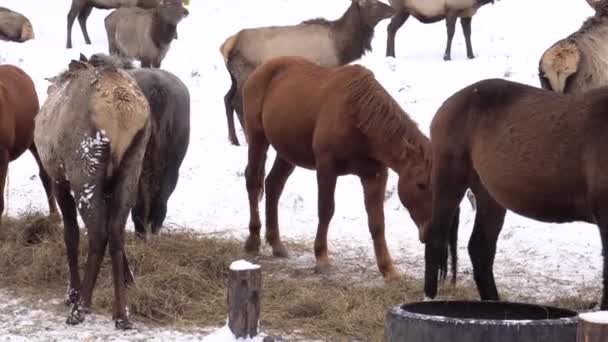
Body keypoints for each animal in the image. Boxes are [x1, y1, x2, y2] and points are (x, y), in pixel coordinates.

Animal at [35, 56, 151, 328]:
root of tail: (121, 107)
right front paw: (129, 279)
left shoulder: (59, 180)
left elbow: (71, 236)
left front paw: (72, 292)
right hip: (132, 163)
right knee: (116, 232)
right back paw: (122, 314)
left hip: (84, 168)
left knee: (97, 234)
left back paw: (81, 306)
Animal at [218, 0, 394, 146]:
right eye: (373, 3)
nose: (392, 9)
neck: (341, 47)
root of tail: (226, 47)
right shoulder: (327, 67)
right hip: (245, 74)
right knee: (236, 102)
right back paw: (246, 139)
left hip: (234, 78)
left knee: (226, 98)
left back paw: (233, 139)